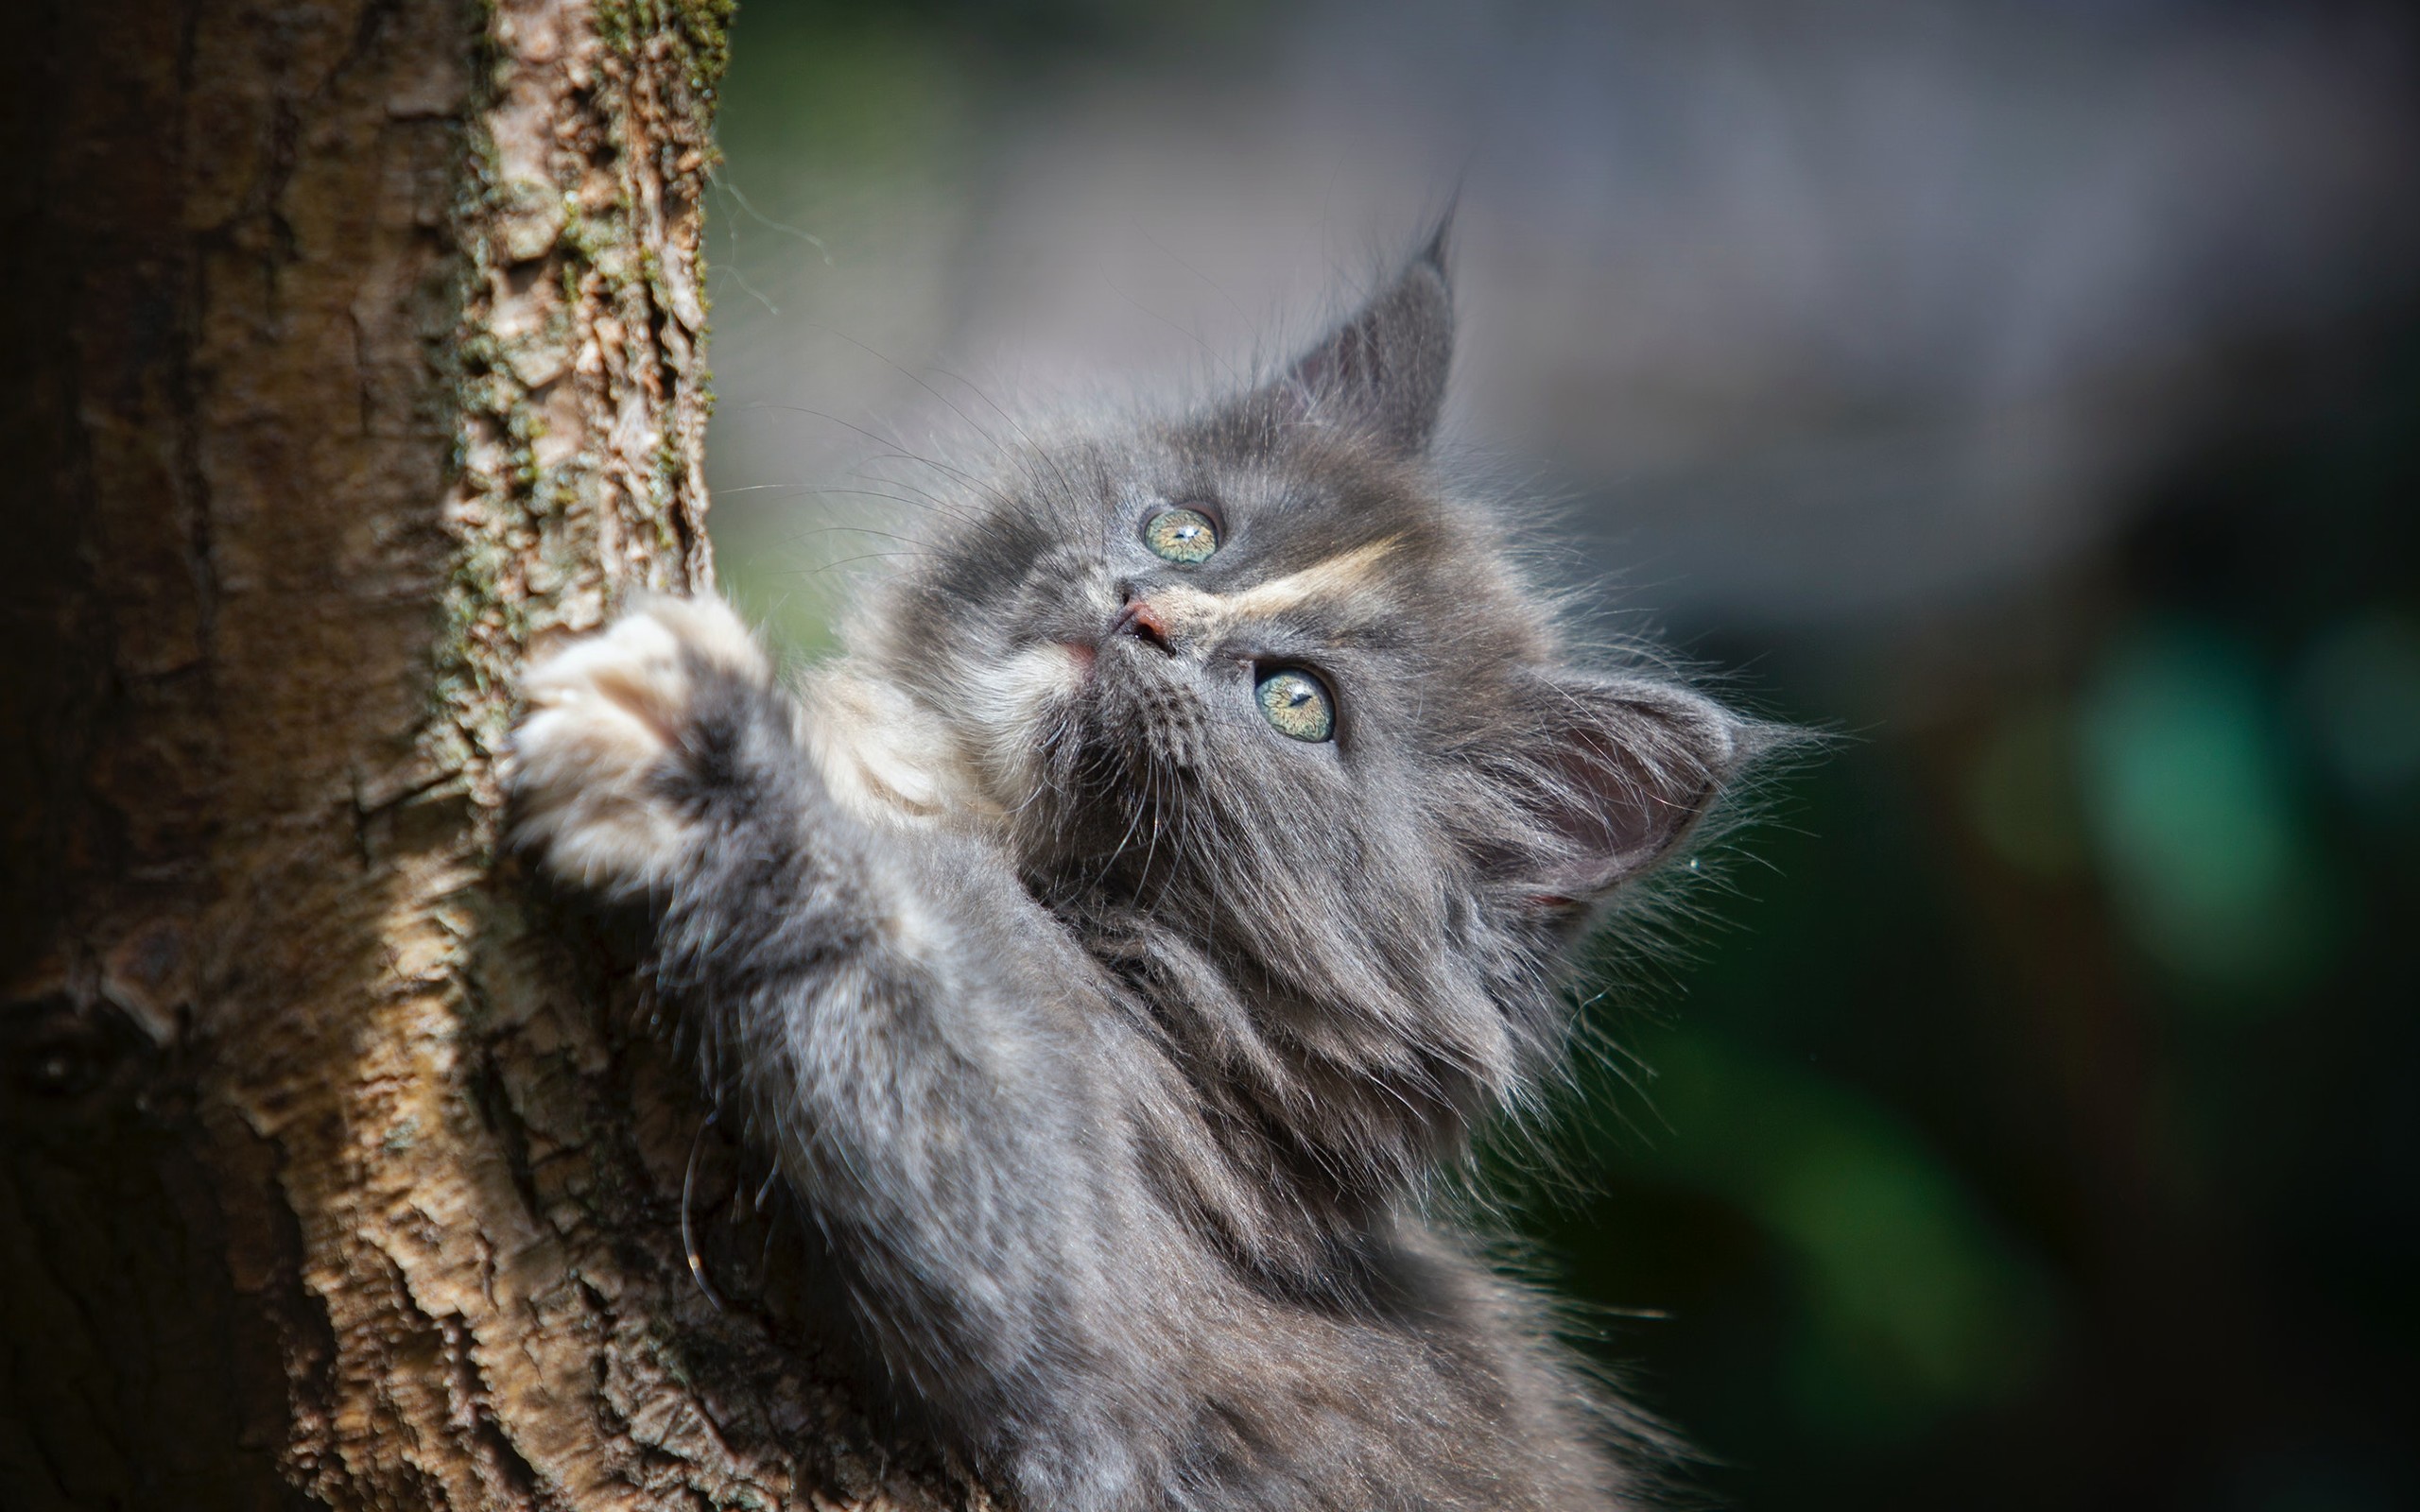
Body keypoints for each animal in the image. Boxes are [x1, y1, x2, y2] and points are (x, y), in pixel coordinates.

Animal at [510, 227, 1771, 1509]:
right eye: (1185, 533)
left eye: (1297, 703)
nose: (1145, 611)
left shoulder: (1089, 1277)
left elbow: (903, 979)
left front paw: (701, 744)